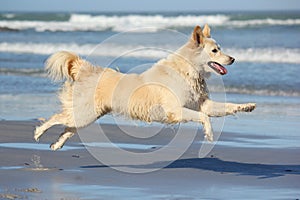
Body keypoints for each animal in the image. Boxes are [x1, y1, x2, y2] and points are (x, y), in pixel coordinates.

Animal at [34, 24, 255, 150]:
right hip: (85, 112)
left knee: (68, 128)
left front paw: (246, 106)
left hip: (87, 115)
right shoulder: (176, 110)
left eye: (221, 49)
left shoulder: (204, 104)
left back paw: (56, 144)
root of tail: (86, 69)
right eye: (215, 51)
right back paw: (38, 133)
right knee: (57, 118)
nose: (233, 59)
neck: (188, 70)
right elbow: (204, 117)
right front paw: (208, 133)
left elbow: (224, 108)